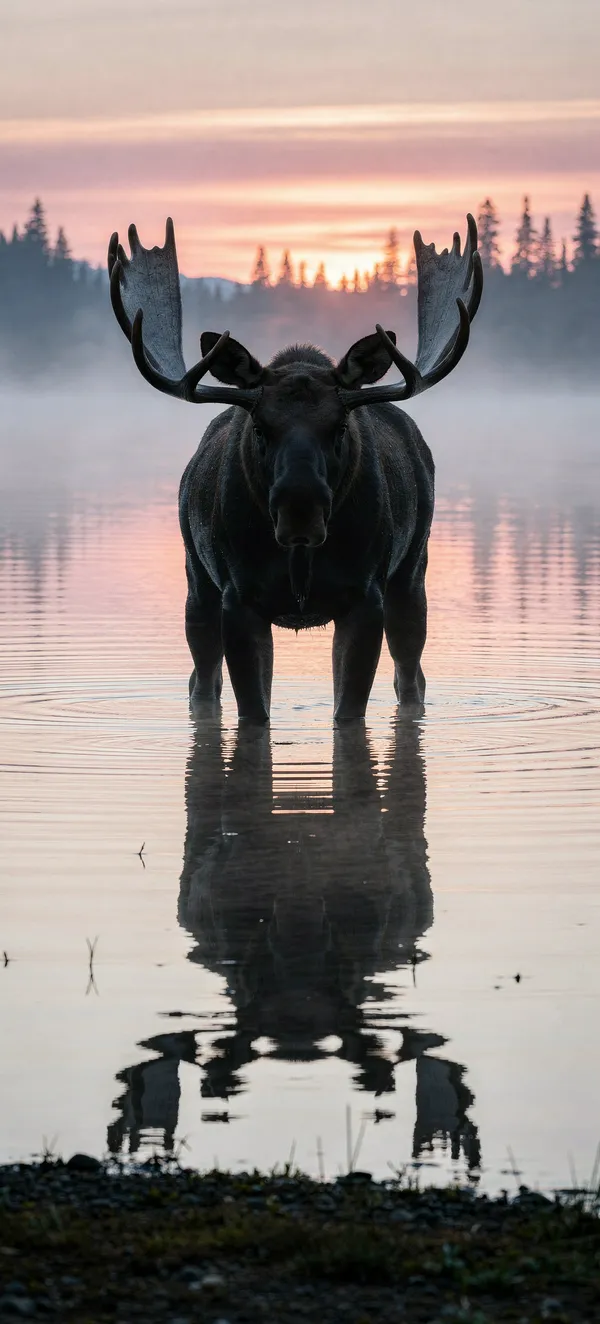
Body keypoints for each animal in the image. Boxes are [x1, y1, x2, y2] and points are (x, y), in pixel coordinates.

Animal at [107, 215, 482, 723]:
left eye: (340, 424)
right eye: (259, 426)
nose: (299, 509)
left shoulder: (366, 594)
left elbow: (348, 711)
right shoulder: (238, 595)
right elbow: (253, 711)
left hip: (412, 574)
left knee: (412, 678)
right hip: (197, 584)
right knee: (201, 682)